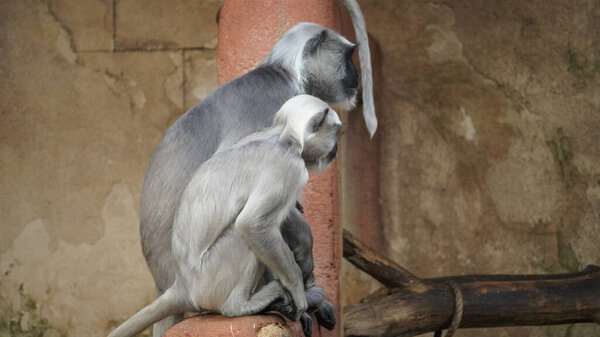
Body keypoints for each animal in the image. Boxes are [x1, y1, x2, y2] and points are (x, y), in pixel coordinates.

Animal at [108, 94, 342, 336]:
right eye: (335, 132)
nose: (335, 148)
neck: (280, 138)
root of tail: (182, 284)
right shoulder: (288, 167)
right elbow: (253, 224)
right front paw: (298, 290)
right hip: (211, 277)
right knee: (243, 234)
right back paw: (241, 306)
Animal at [139, 3, 378, 334]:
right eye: (347, 57)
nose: (355, 75)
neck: (283, 72)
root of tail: (166, 284)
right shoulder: (274, 104)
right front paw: (305, 252)